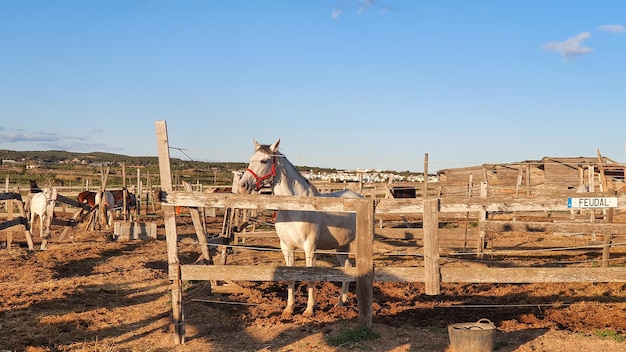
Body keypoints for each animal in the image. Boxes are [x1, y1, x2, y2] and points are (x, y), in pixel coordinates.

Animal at [236, 139, 358, 318]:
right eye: (251, 159)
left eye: (264, 161)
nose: (243, 185)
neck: (294, 209)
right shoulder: (286, 248)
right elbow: (290, 277)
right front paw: (289, 308)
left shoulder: (310, 248)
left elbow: (310, 278)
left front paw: (309, 310)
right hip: (342, 247)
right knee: (348, 268)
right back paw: (340, 302)